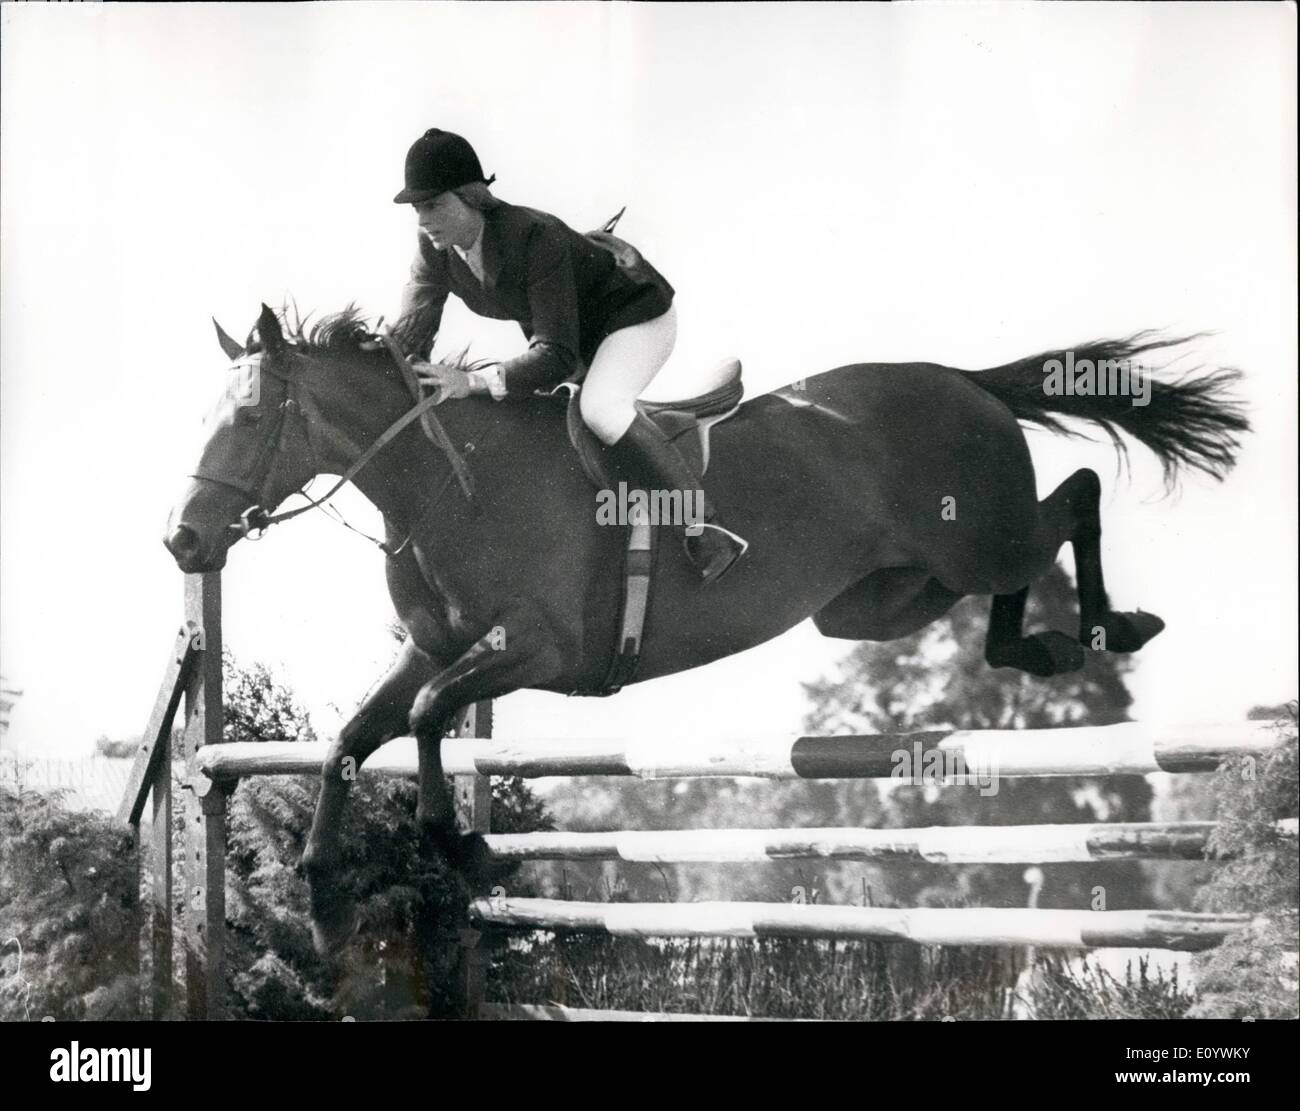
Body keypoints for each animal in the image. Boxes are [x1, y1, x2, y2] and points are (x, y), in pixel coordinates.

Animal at [162, 304, 1248, 956]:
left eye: (251, 420)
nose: (184, 540)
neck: (446, 481)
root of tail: (957, 376)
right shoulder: (436, 645)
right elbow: (353, 737)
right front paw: (320, 895)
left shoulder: (535, 648)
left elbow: (427, 714)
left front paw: (460, 848)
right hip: (879, 597)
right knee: (1012, 573)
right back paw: (1038, 644)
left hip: (974, 538)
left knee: (1075, 498)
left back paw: (1107, 625)